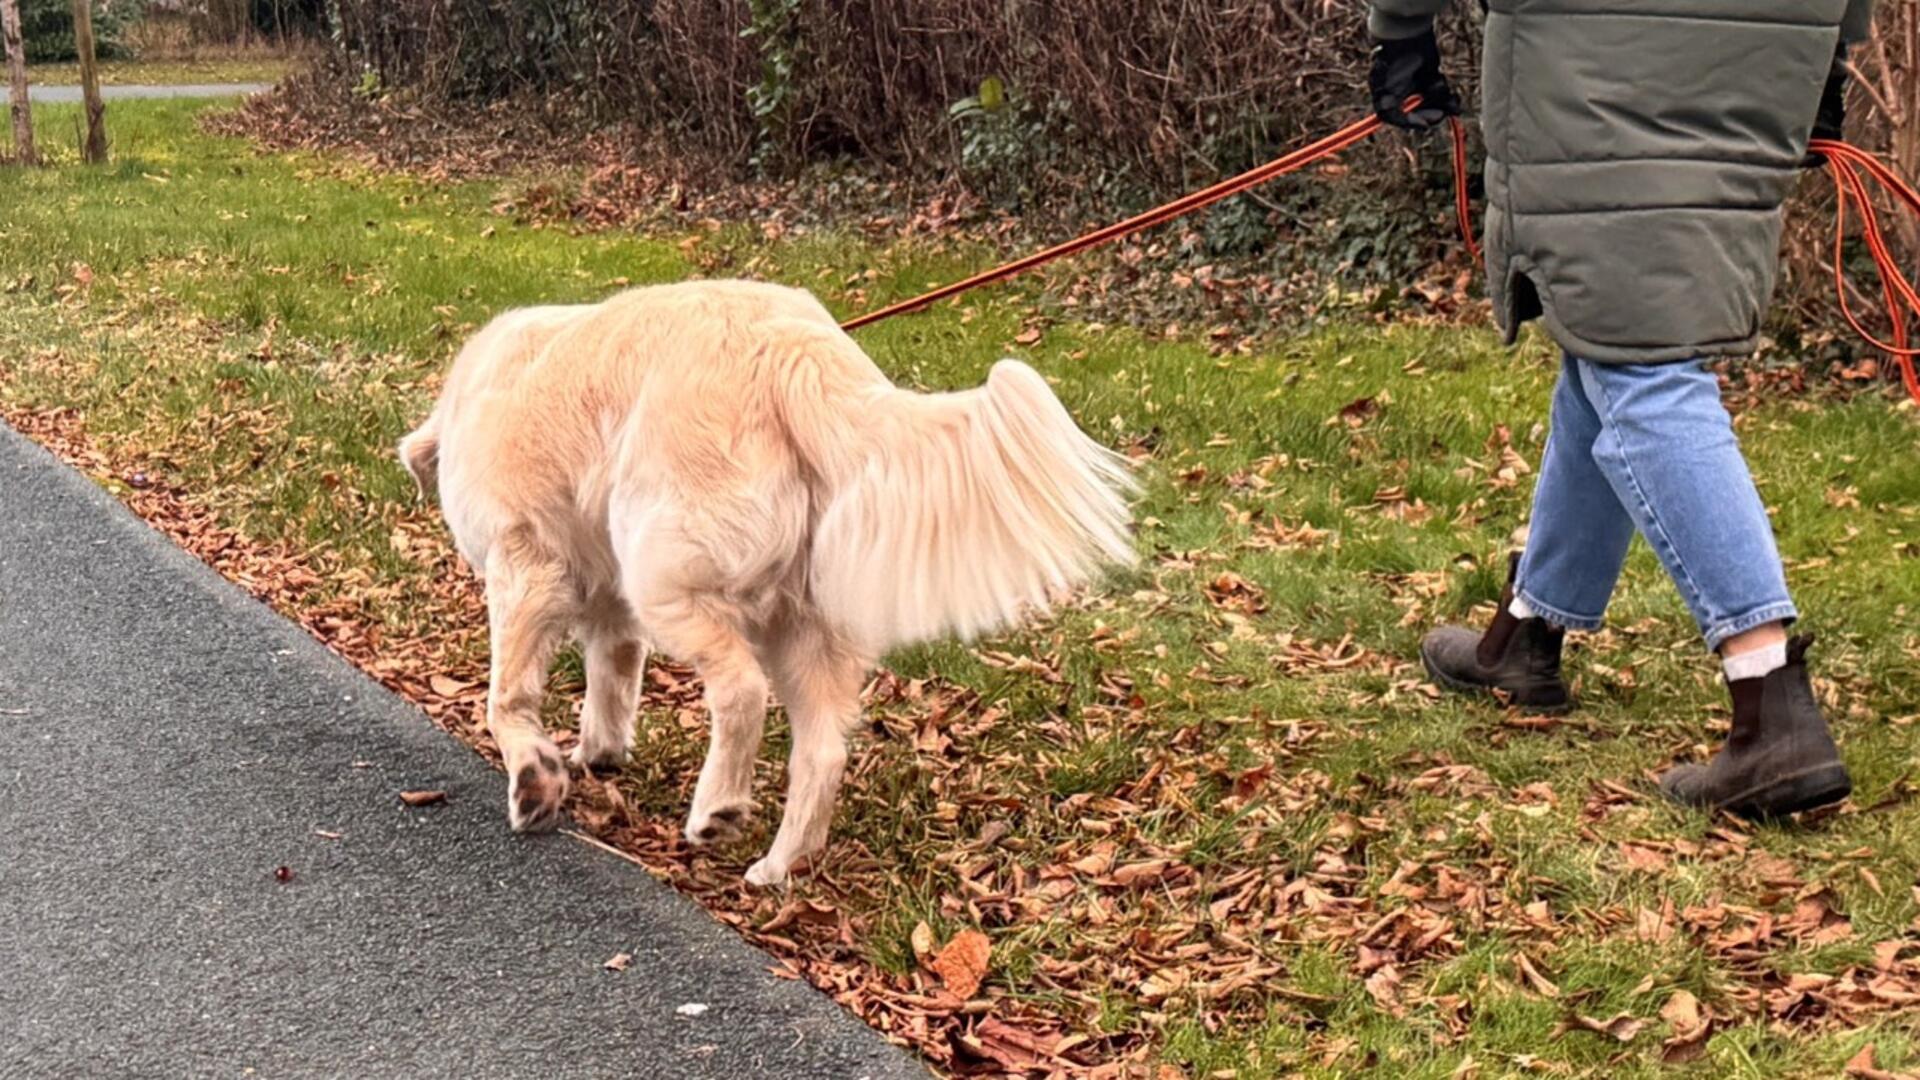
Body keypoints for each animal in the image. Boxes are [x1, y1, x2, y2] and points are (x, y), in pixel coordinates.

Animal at [397, 278, 1128, 883]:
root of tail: (792, 352)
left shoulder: (526, 565)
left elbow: (507, 696)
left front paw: (535, 777)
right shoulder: (609, 607)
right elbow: (613, 675)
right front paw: (596, 752)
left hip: (668, 571)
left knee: (742, 692)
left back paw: (716, 810)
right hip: (803, 621)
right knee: (823, 751)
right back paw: (778, 867)